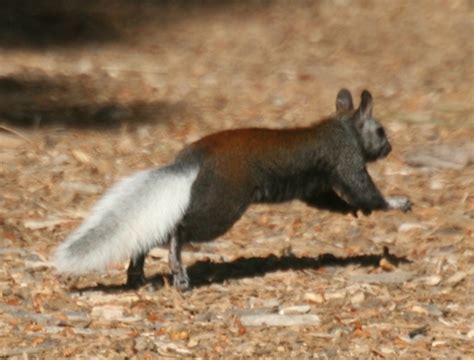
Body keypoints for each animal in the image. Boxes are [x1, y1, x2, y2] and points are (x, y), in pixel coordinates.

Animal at [54, 88, 412, 292]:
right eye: (381, 131)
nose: (390, 148)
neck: (342, 127)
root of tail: (192, 159)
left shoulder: (315, 186)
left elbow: (327, 200)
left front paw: (353, 210)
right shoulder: (346, 160)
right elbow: (363, 189)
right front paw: (394, 202)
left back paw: (136, 273)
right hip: (223, 202)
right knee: (178, 230)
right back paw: (177, 270)